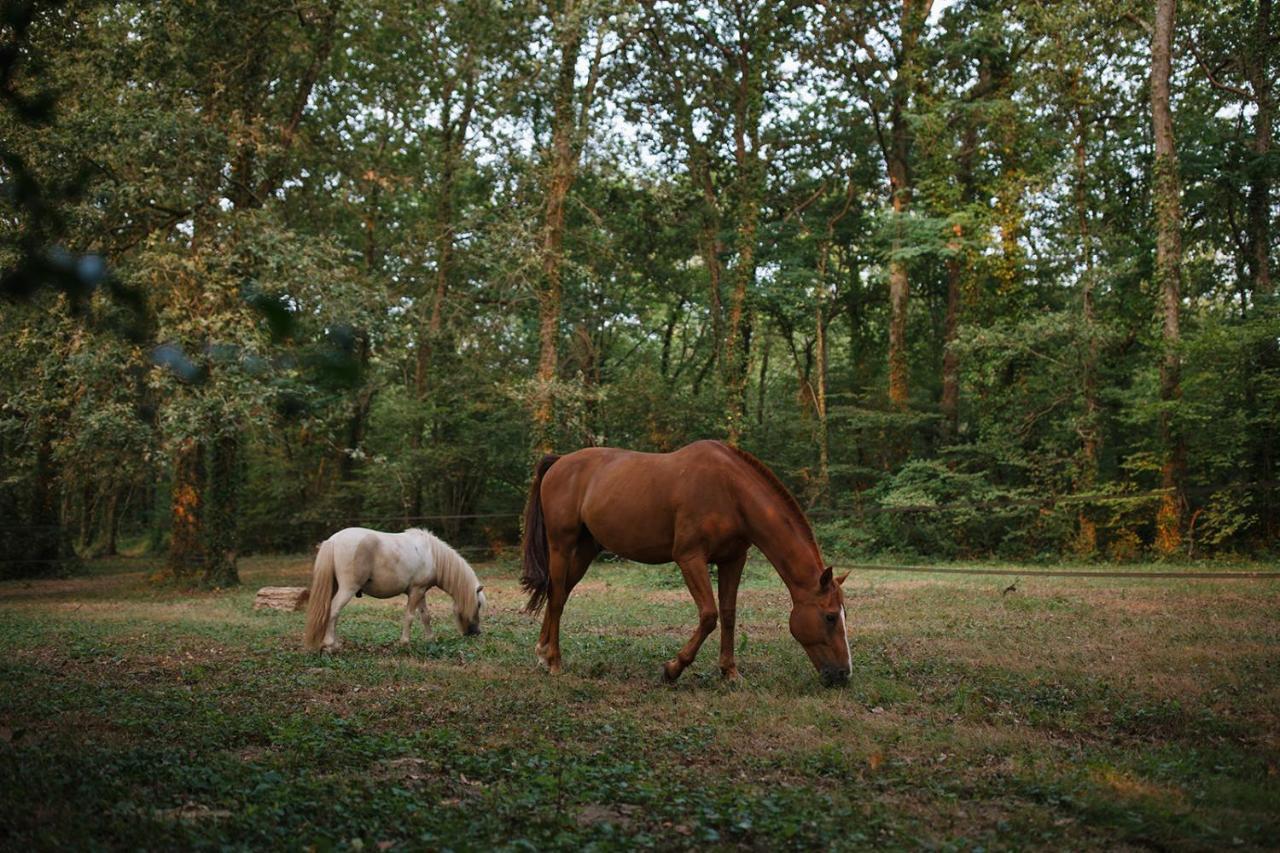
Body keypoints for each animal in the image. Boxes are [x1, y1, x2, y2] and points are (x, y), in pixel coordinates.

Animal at [302, 525, 486, 650]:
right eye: (478, 605)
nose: (476, 633)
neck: (432, 555)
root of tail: (333, 540)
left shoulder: (421, 591)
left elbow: (425, 616)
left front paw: (430, 639)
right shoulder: (416, 591)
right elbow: (410, 616)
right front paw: (404, 643)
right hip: (348, 589)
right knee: (334, 610)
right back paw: (330, 645)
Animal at [514, 438, 855, 686]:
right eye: (830, 617)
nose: (844, 675)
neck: (730, 491)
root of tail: (560, 462)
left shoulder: (733, 559)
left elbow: (728, 614)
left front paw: (730, 672)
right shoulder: (690, 558)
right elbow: (708, 615)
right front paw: (673, 668)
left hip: (585, 549)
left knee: (559, 594)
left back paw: (542, 653)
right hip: (562, 545)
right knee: (558, 596)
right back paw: (554, 661)